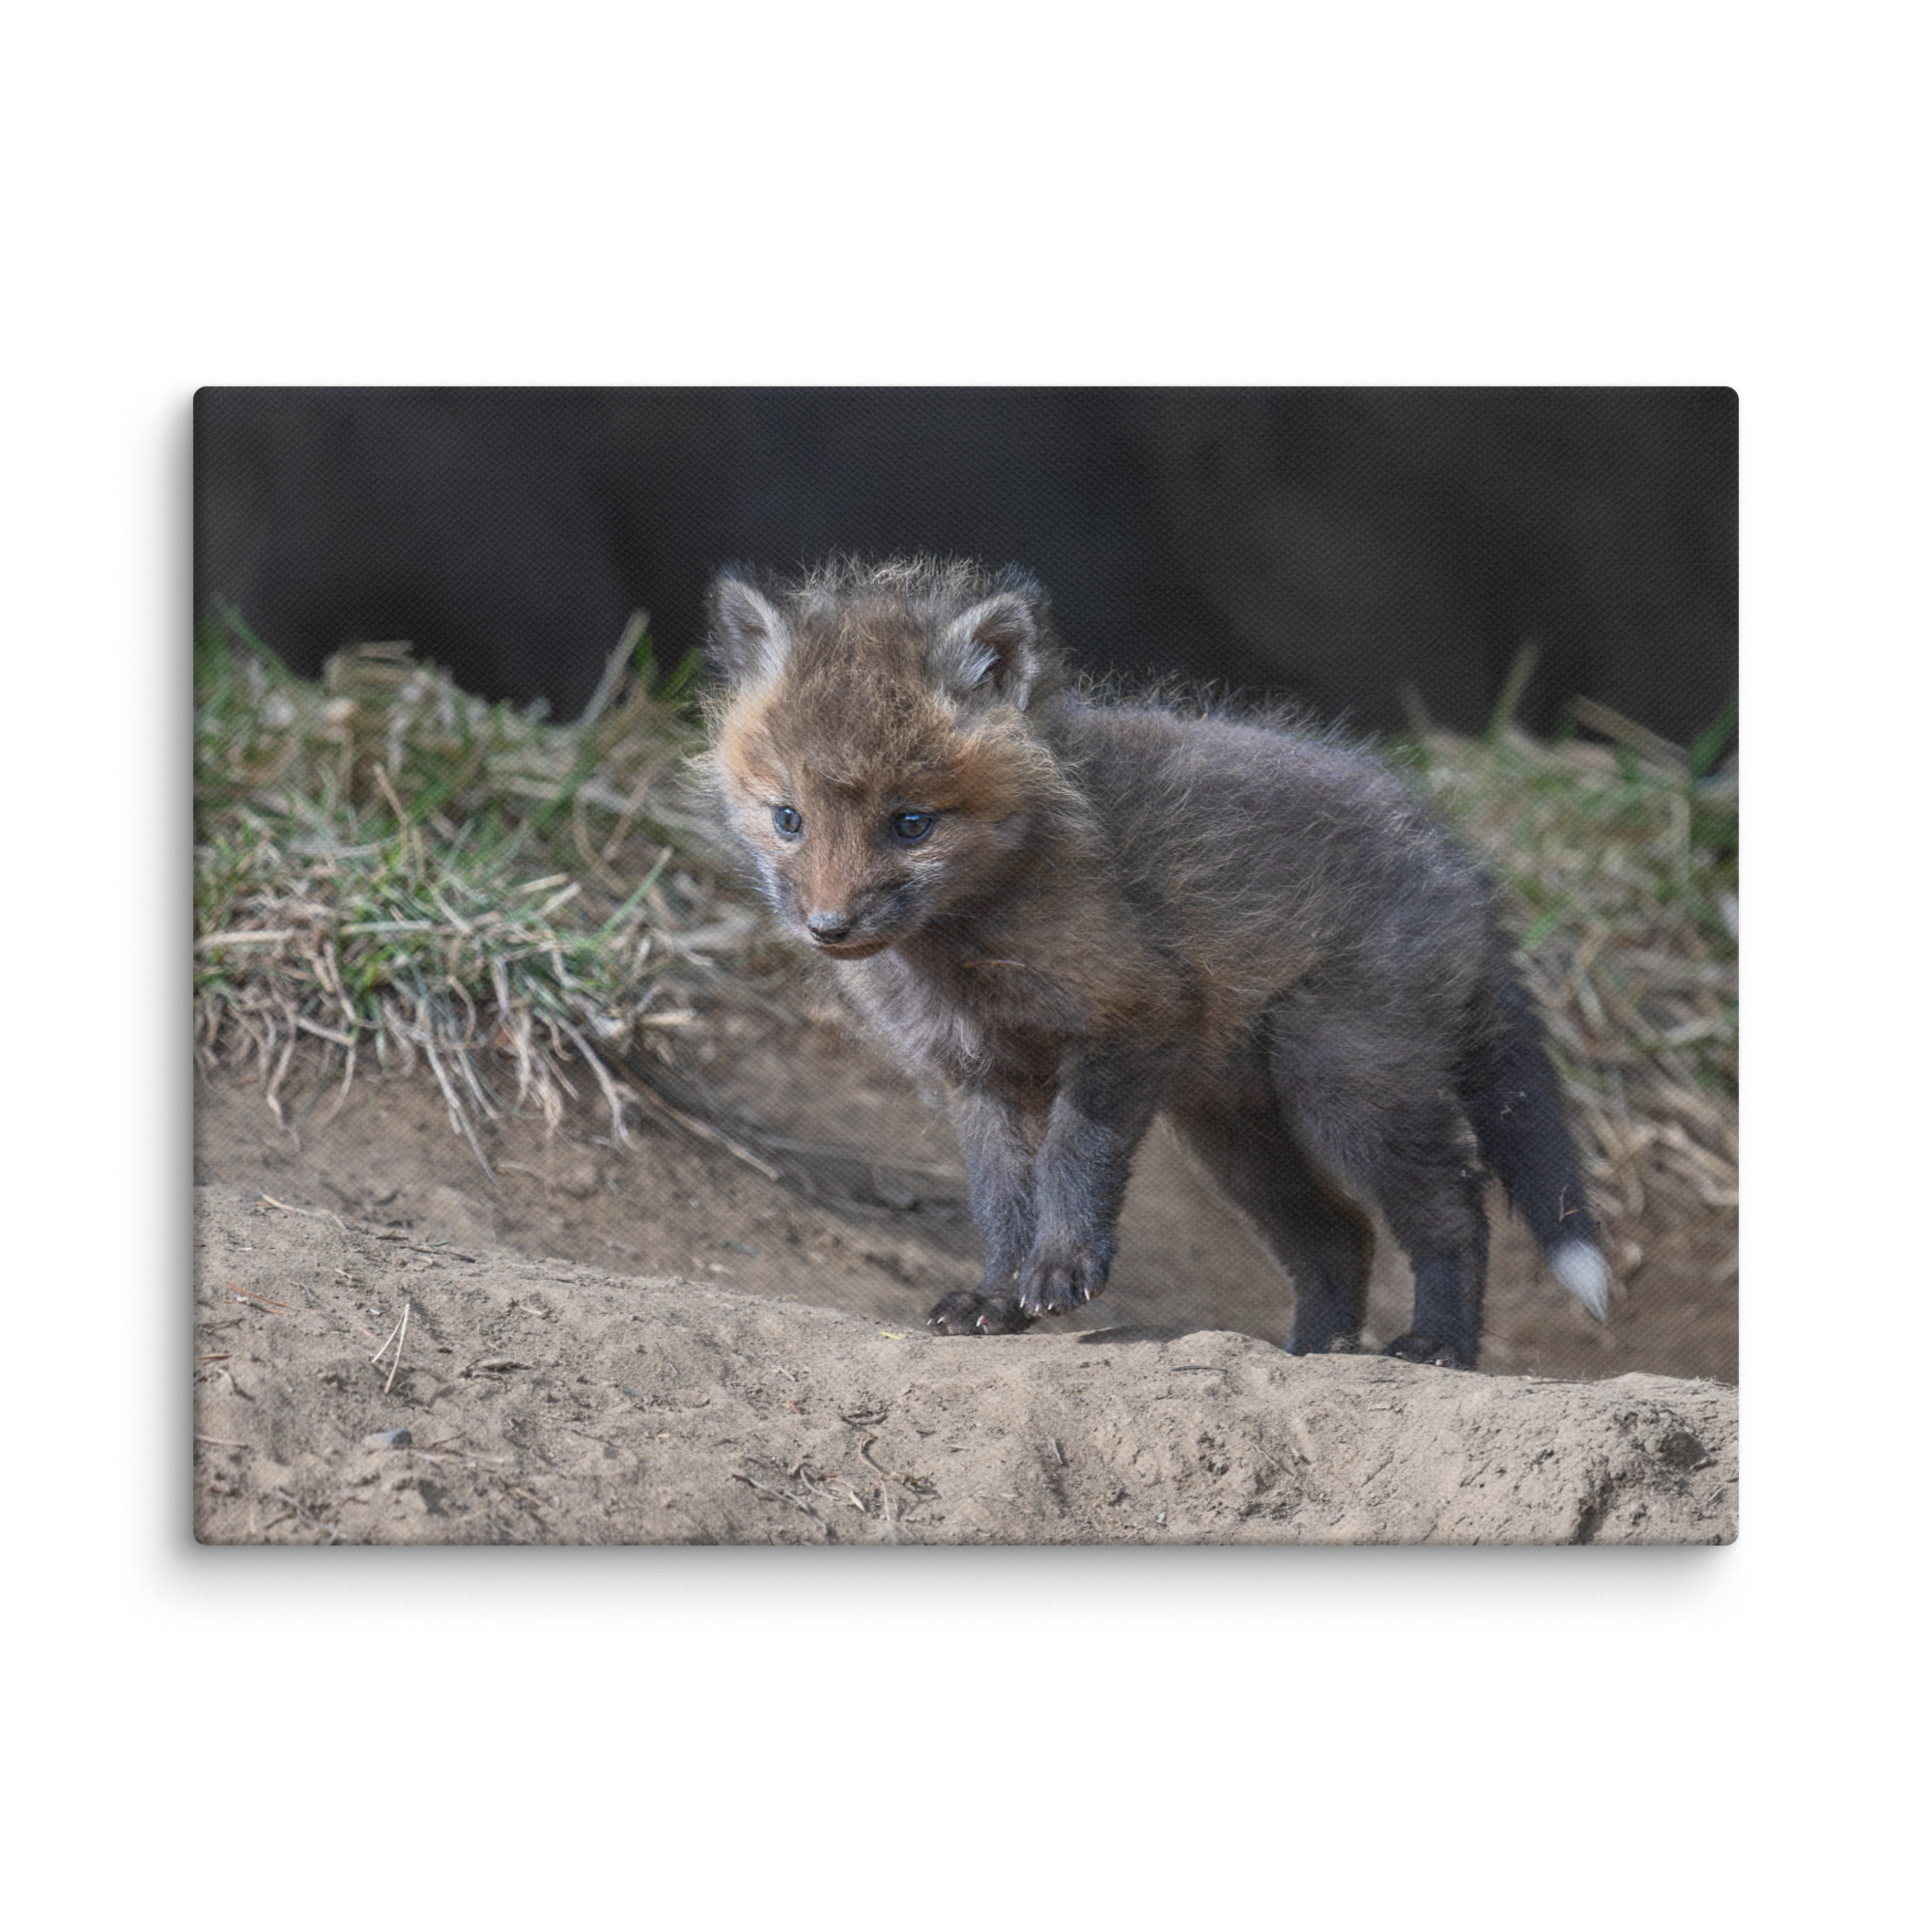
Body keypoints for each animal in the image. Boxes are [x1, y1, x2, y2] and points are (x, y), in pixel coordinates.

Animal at [699, 556, 1612, 1368]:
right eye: (788, 819)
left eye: (911, 824)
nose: (828, 927)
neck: (965, 952)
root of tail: (1461, 866)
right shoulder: (977, 1074)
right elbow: (1000, 1200)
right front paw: (996, 1296)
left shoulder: (1132, 1014)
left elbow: (1073, 1157)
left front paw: (1061, 1268)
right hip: (1236, 1131)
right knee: (1340, 1236)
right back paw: (1313, 1351)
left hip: (1344, 1086)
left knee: (1454, 1206)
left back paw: (1438, 1345)